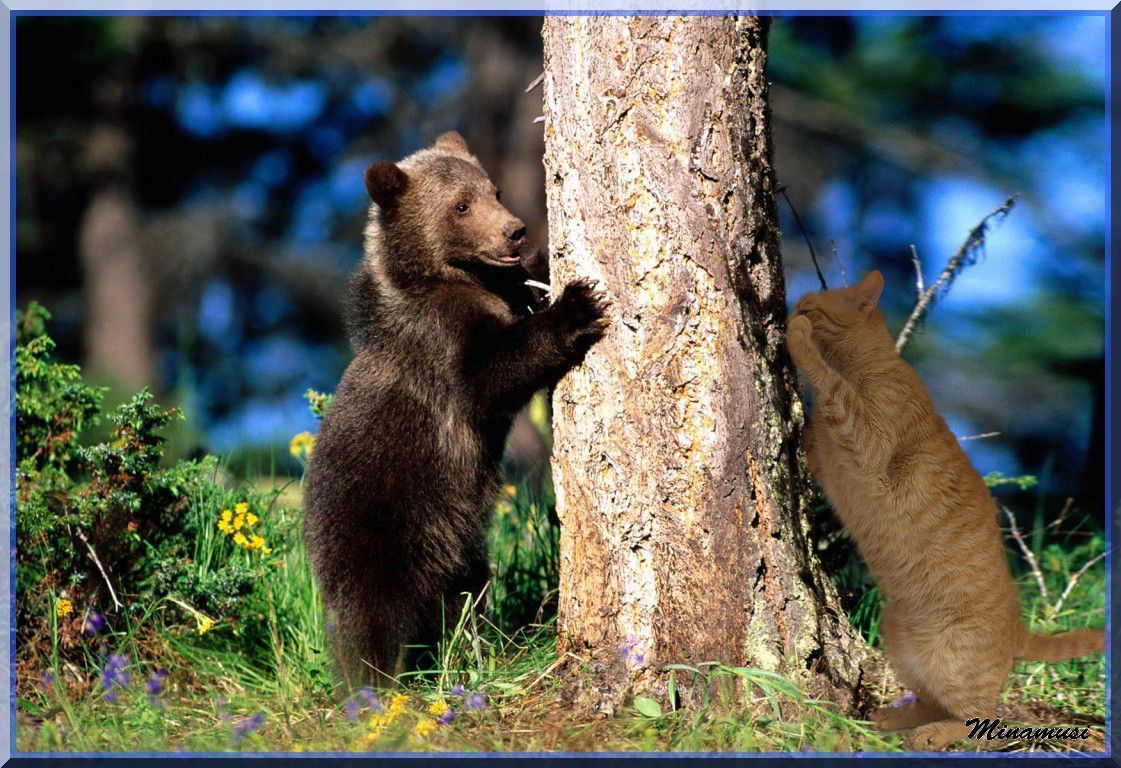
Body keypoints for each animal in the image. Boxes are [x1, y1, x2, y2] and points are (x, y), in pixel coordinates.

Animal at [789, 271, 1103, 748]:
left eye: (810, 305)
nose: (790, 310)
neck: (870, 365)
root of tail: (1017, 631)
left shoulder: (865, 443)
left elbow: (831, 385)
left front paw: (798, 337)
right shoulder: (826, 461)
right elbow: (816, 423)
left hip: (952, 661)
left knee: (977, 720)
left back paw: (929, 735)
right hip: (901, 644)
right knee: (931, 701)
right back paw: (892, 720)